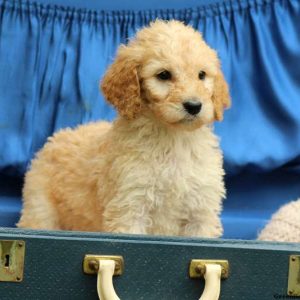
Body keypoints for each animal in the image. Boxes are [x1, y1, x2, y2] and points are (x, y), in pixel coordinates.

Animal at [17, 19, 231, 238]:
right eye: (163, 75)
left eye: (201, 75)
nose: (194, 106)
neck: (173, 138)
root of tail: (59, 136)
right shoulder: (130, 208)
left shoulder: (200, 213)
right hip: (40, 207)